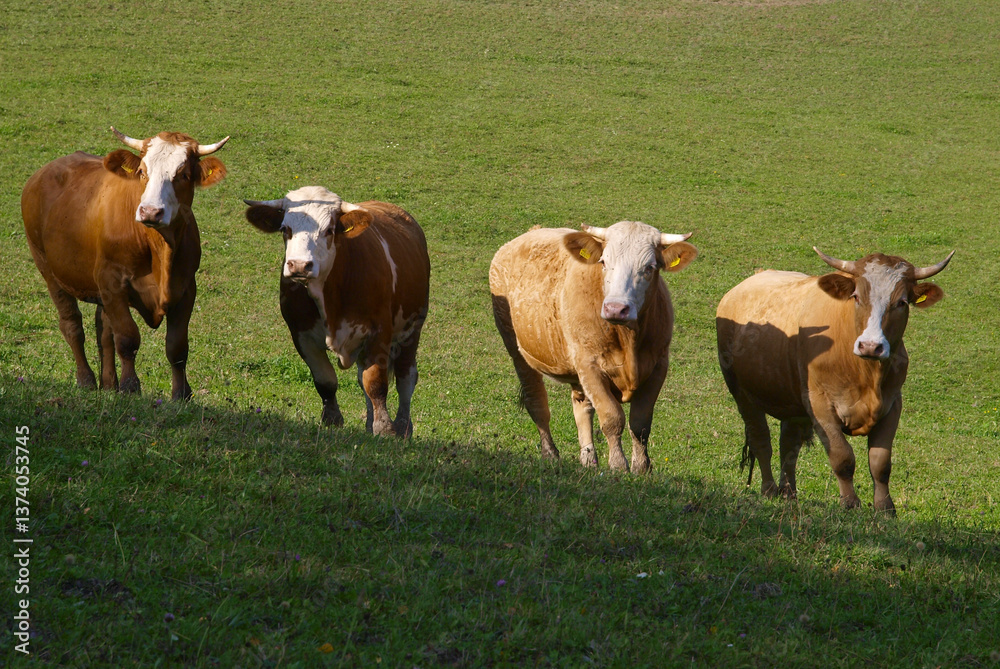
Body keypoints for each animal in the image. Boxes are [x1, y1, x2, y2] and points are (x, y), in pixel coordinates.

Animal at [21, 127, 229, 400]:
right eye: (142, 172)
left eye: (183, 175)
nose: (150, 212)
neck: (159, 249)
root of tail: (42, 173)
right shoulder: (112, 282)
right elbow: (128, 338)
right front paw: (131, 386)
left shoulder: (186, 288)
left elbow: (177, 347)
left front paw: (181, 394)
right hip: (48, 268)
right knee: (72, 325)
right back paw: (86, 380)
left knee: (103, 331)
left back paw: (109, 384)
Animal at [243, 186, 430, 437]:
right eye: (285, 229)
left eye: (329, 230)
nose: (299, 265)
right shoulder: (301, 335)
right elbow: (326, 381)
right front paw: (332, 419)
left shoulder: (379, 332)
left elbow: (376, 383)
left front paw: (385, 427)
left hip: (412, 330)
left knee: (405, 378)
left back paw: (403, 426)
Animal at [489, 221, 698, 472]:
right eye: (604, 262)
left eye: (649, 267)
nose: (616, 308)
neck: (627, 340)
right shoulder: (590, 367)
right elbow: (611, 417)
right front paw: (618, 465)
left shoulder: (658, 365)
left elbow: (640, 423)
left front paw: (641, 467)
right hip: (517, 350)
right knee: (537, 403)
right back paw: (550, 454)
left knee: (582, 407)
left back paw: (588, 459)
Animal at [716, 247, 954, 513]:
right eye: (856, 297)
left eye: (901, 302)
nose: (870, 346)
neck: (865, 373)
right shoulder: (820, 404)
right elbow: (842, 456)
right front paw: (849, 502)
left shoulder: (892, 405)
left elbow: (880, 462)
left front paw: (885, 508)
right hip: (742, 393)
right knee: (761, 441)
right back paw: (769, 489)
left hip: (793, 403)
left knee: (788, 446)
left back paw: (789, 493)